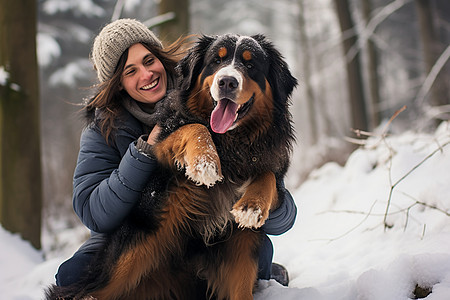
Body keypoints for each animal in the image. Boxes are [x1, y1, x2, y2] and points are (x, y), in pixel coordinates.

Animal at [47, 34, 298, 298]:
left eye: (250, 65)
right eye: (216, 61)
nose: (227, 82)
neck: (231, 143)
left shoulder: (242, 240)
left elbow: (267, 176)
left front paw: (252, 206)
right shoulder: (159, 143)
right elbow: (194, 127)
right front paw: (205, 162)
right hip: (131, 252)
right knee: (89, 290)